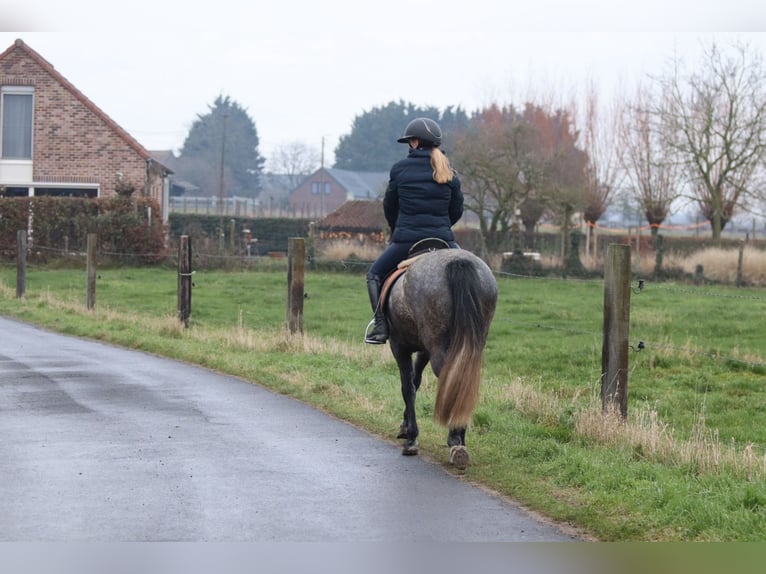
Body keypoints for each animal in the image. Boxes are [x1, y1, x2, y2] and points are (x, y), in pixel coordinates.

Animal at [384, 247, 498, 470]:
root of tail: (458, 261)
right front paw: (405, 426)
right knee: (464, 380)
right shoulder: (424, 350)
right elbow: (416, 381)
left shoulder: (399, 346)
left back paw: (455, 441)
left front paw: (411, 437)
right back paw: (460, 439)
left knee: (450, 379)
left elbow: (408, 387)